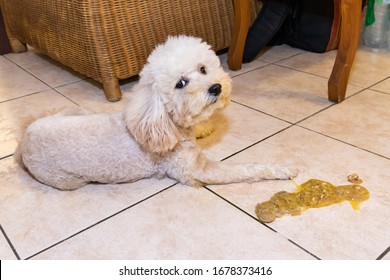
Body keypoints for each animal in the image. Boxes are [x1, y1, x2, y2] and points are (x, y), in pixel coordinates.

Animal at [14, 35, 296, 190]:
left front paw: (205, 127)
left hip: (74, 111)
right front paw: (281, 169)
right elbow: (245, 168)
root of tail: (23, 142)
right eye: (180, 83)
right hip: (67, 181)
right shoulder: (196, 170)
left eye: (203, 69)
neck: (165, 123)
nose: (215, 87)